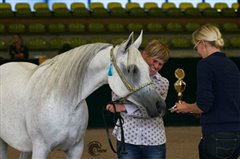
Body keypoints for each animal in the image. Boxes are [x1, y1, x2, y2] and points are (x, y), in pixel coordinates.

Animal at [0, 31, 165, 159]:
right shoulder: (41, 148)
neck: (64, 103)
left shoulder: (76, 148)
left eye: (147, 67)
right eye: (132, 69)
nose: (160, 105)